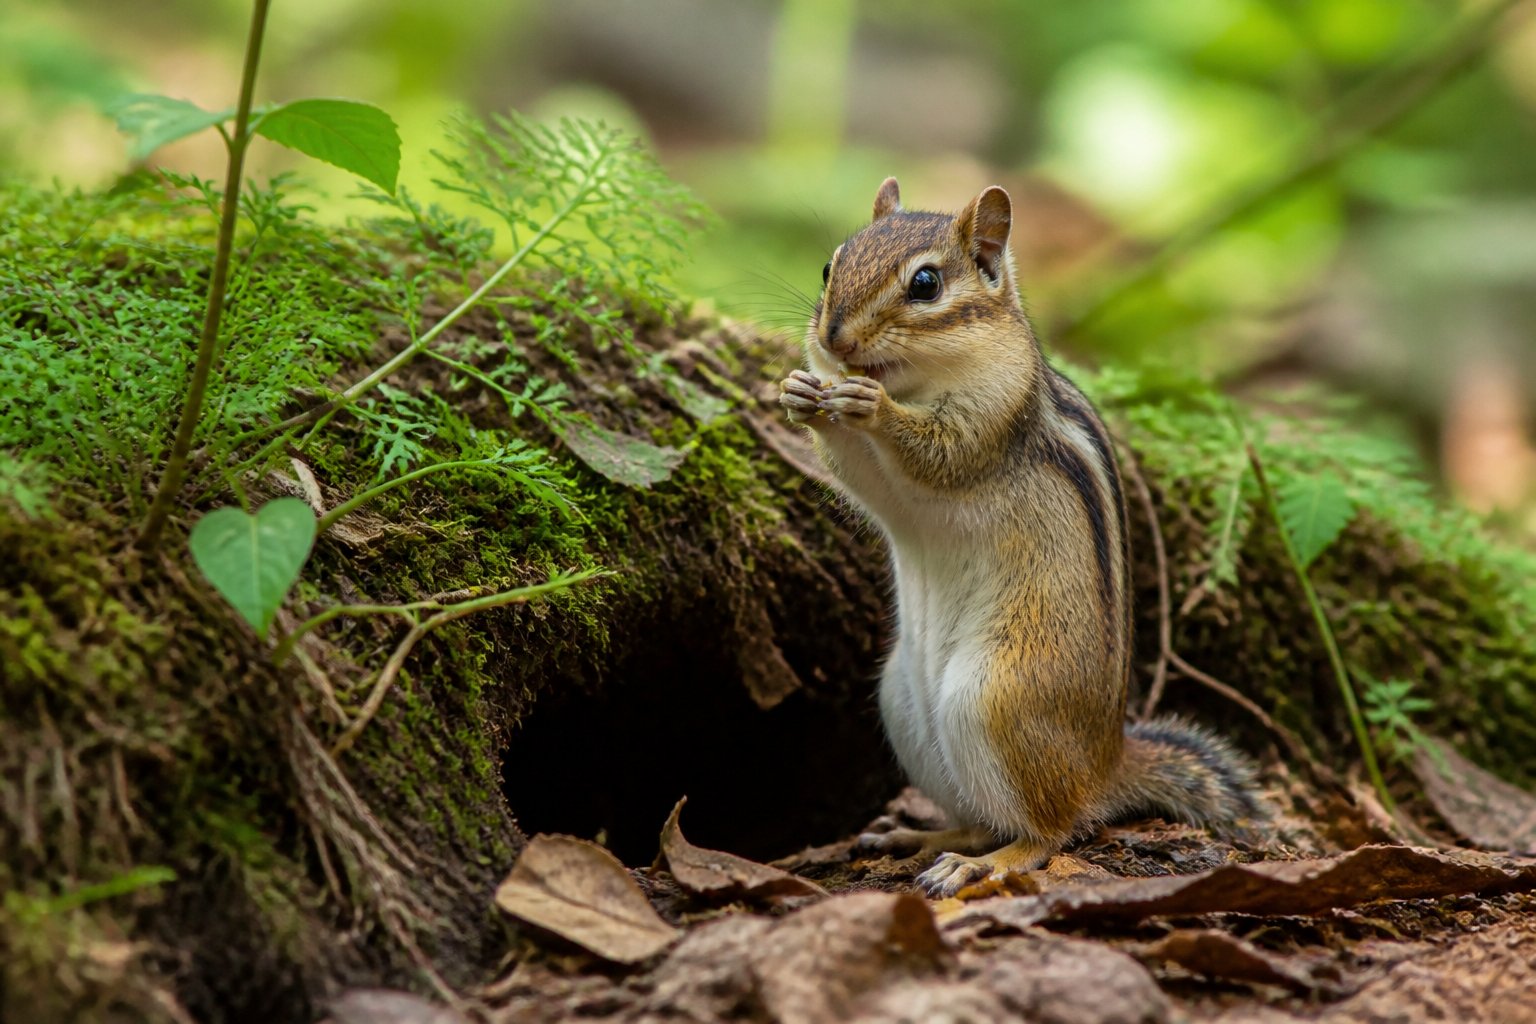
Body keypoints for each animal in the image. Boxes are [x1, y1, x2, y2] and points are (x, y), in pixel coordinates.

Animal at [779, 178, 1264, 898]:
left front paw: (873, 408)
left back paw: (978, 865)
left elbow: (935, 453)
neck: (914, 378)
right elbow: (863, 477)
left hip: (995, 700)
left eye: (925, 283)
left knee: (1047, 833)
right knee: (983, 819)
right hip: (903, 705)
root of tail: (1105, 764)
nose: (833, 339)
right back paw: (923, 837)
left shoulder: (992, 419)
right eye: (827, 266)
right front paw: (799, 391)